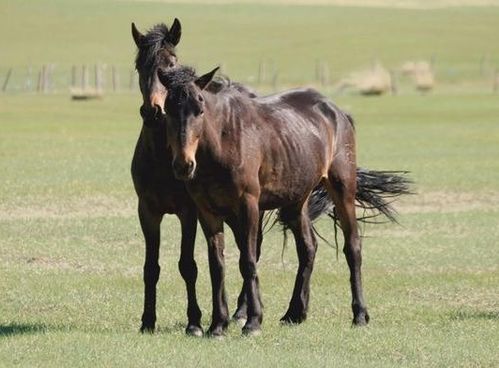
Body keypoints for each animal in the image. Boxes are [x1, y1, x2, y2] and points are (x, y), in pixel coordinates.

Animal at [157, 66, 410, 336]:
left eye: (200, 108)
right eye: (167, 109)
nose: (184, 165)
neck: (224, 141)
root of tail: (337, 112)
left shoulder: (248, 206)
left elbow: (247, 261)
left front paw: (253, 322)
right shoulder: (207, 212)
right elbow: (217, 266)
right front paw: (217, 325)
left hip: (342, 189)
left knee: (352, 247)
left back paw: (360, 314)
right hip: (296, 203)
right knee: (308, 248)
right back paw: (295, 312)